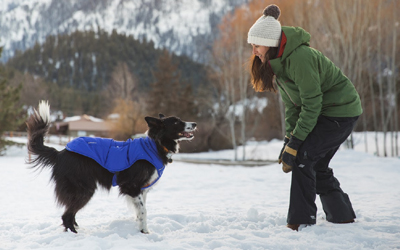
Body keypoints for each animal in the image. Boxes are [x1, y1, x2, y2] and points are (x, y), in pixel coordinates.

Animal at [26, 100, 197, 233]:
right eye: (176, 122)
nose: (195, 123)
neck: (155, 145)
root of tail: (61, 153)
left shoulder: (142, 189)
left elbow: (140, 210)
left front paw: (140, 229)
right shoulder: (131, 186)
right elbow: (143, 210)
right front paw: (145, 232)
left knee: (70, 214)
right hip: (84, 190)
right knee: (66, 215)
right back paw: (75, 235)